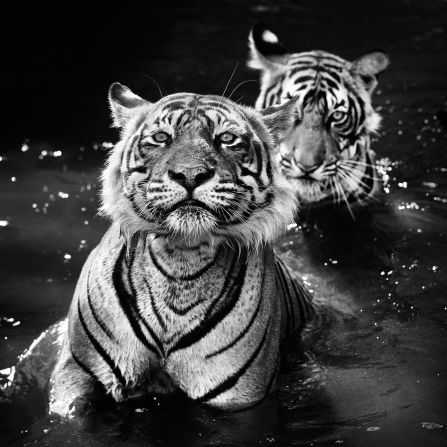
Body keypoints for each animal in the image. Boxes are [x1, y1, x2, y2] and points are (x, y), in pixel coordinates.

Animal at [43, 83, 316, 416]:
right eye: (162, 137)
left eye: (226, 138)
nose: (190, 174)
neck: (180, 260)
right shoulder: (76, 372)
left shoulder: (240, 399)